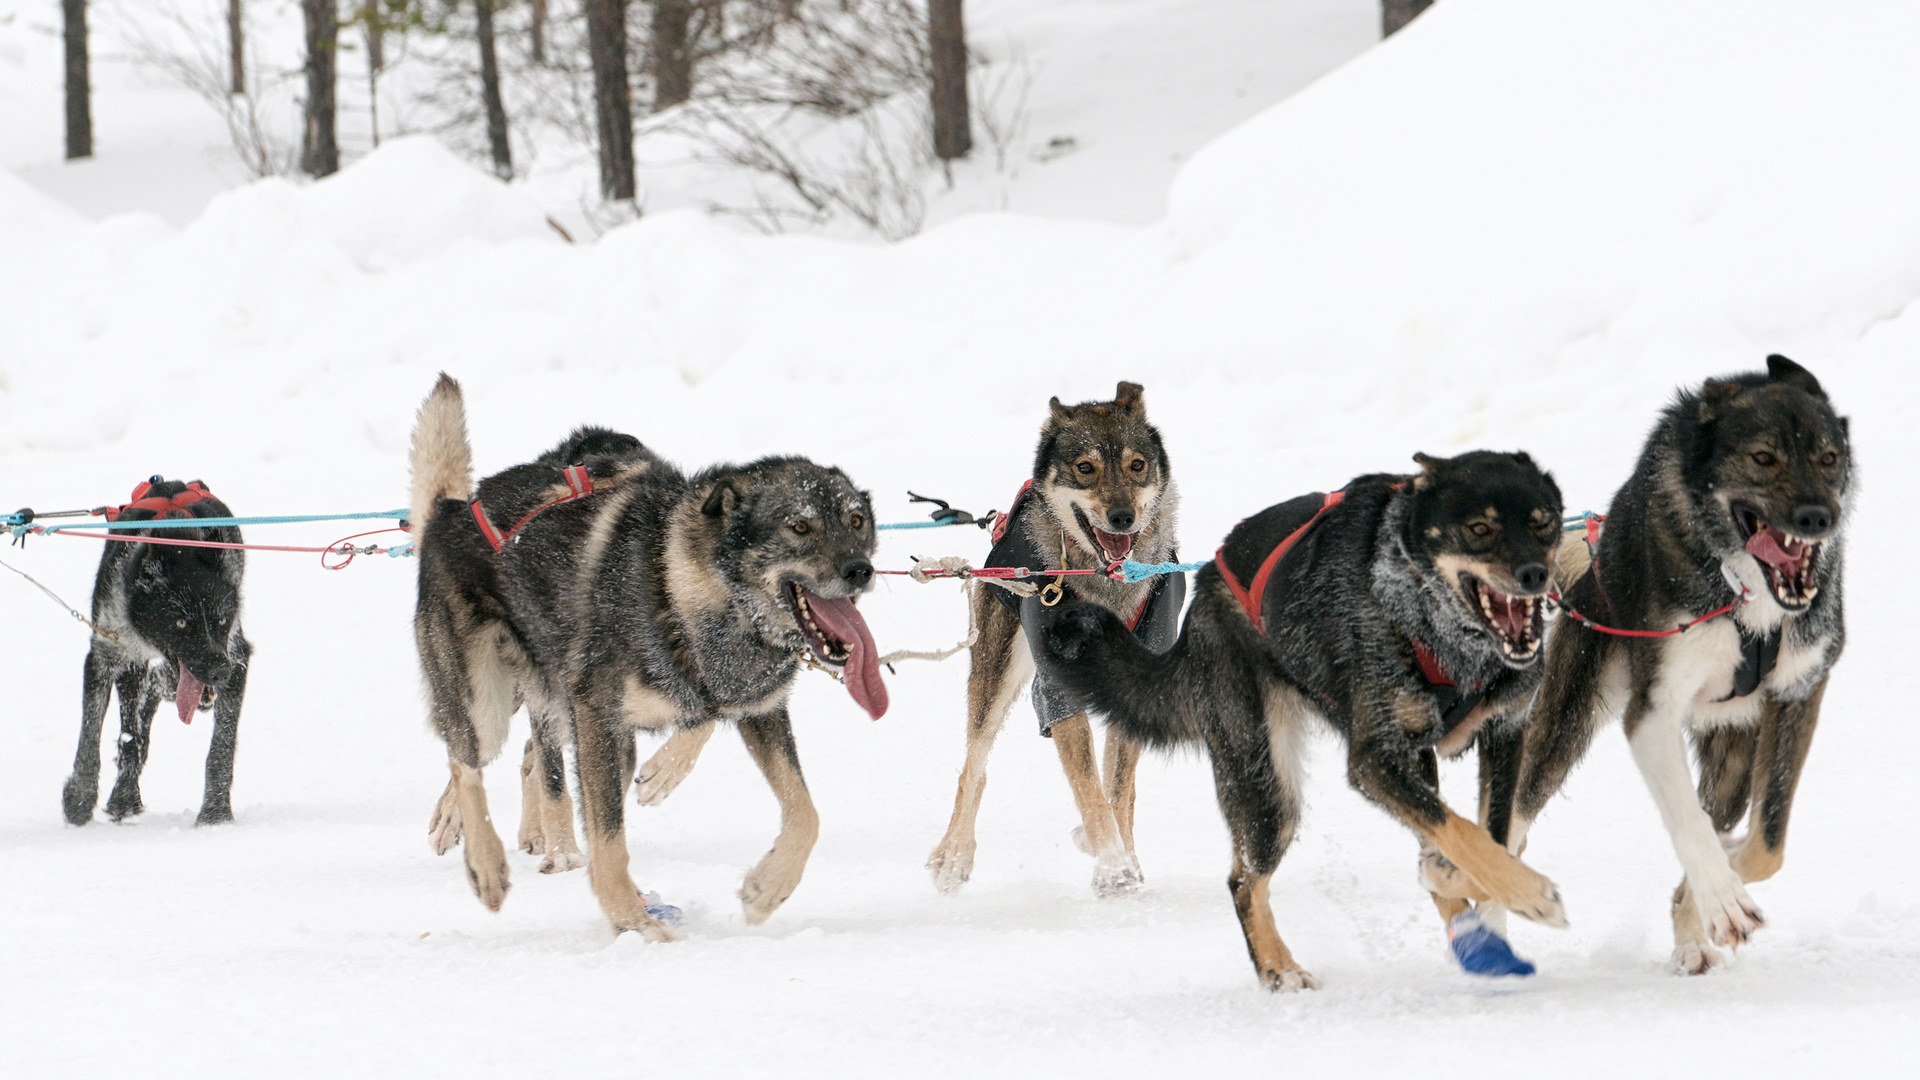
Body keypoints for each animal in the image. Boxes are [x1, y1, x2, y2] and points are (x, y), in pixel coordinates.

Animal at [60, 476, 251, 822]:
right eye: (180, 622)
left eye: (221, 619)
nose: (219, 671)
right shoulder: (105, 653)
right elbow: (92, 735)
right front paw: (81, 797)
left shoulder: (237, 655)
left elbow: (221, 748)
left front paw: (215, 813)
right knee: (137, 715)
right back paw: (125, 792)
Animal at [408, 374, 887, 930]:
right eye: (800, 526)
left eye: (856, 520)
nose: (859, 570)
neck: (696, 595)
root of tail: (452, 509)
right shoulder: (598, 714)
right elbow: (609, 841)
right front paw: (637, 928)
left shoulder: (756, 707)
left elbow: (806, 812)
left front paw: (767, 889)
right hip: (490, 705)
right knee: (466, 761)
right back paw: (485, 861)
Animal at [921, 382, 1175, 895]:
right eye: (1085, 468)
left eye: (1137, 465)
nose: (1122, 516)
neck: (1106, 585)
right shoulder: (1057, 694)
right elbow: (1091, 790)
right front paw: (1112, 864)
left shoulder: (1136, 693)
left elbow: (1118, 789)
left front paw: (1120, 857)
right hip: (997, 673)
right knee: (973, 767)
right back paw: (954, 855)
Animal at [1044, 449, 1566, 991]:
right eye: (1479, 528)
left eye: (1543, 524)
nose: (1534, 574)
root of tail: (1205, 586)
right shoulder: (1375, 760)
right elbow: (1462, 833)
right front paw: (1528, 894)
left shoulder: (1503, 736)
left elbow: (1487, 836)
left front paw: (1471, 884)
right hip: (1267, 786)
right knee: (1244, 879)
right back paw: (1279, 967)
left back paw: (1472, 937)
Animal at [1505, 355, 1850, 976]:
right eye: (1763, 458)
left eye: (1828, 457)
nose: (1818, 517)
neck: (1745, 590)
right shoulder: (1652, 713)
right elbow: (1691, 824)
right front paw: (1722, 895)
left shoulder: (1800, 689)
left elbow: (1766, 844)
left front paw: (1714, 893)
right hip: (1565, 724)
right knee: (1510, 829)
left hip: (1734, 755)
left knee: (1727, 812)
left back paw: (1693, 937)